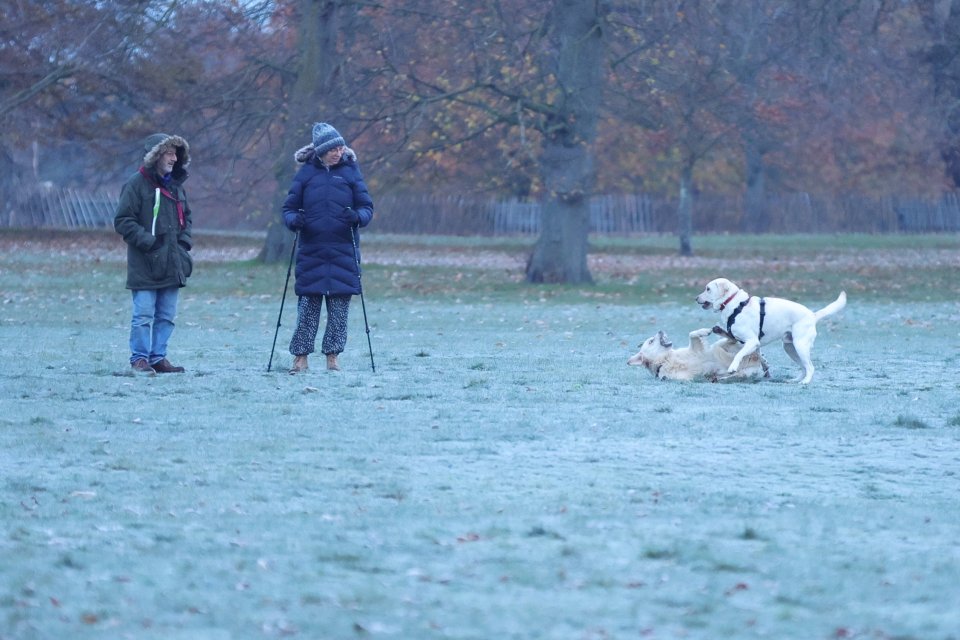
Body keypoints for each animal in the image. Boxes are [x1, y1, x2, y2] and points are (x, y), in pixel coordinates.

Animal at [628, 328, 768, 382]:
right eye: (651, 341)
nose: (660, 331)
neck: (665, 360)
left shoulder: (698, 350)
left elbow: (692, 334)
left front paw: (704, 331)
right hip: (747, 372)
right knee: (738, 374)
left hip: (720, 347)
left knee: (734, 341)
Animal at [692, 276, 844, 384]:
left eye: (708, 289)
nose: (696, 298)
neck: (735, 304)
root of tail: (813, 315)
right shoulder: (750, 343)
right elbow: (760, 358)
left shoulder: (752, 341)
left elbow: (738, 355)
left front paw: (732, 368)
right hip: (790, 348)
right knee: (803, 367)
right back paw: (796, 380)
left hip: (800, 346)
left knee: (810, 367)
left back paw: (805, 382)